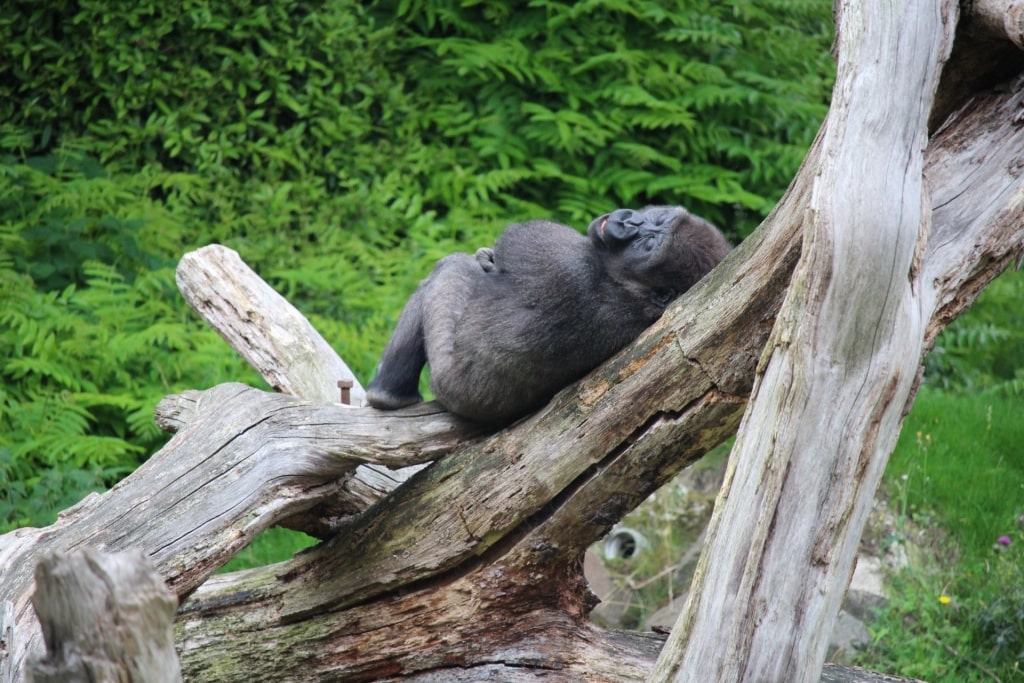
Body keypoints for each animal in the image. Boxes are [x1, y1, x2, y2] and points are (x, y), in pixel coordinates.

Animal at [366, 205, 729, 423]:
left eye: (648, 244)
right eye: (655, 218)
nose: (628, 221)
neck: (626, 286)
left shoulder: (556, 252)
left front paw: (489, 260)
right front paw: (487, 258)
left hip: (446, 382)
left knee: (448, 269)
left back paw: (386, 396)